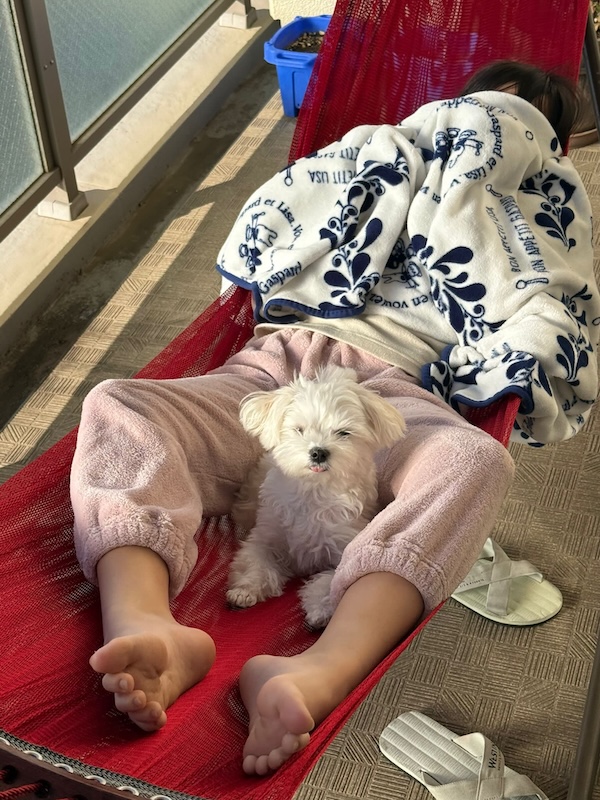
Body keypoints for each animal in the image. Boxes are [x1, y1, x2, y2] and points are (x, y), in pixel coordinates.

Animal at [226, 365, 407, 628]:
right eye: (299, 430)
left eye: (343, 433)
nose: (318, 452)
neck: (313, 491)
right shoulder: (266, 535)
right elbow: (256, 561)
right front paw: (244, 591)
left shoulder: (343, 545)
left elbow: (329, 580)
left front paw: (319, 610)